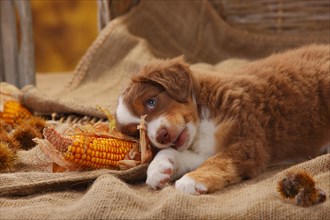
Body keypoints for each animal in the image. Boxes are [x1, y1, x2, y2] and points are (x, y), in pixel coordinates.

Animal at [115, 44, 330, 194]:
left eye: (151, 102)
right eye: (138, 131)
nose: (162, 136)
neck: (201, 122)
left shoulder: (247, 141)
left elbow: (220, 161)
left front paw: (192, 180)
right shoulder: (208, 149)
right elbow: (179, 153)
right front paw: (158, 169)